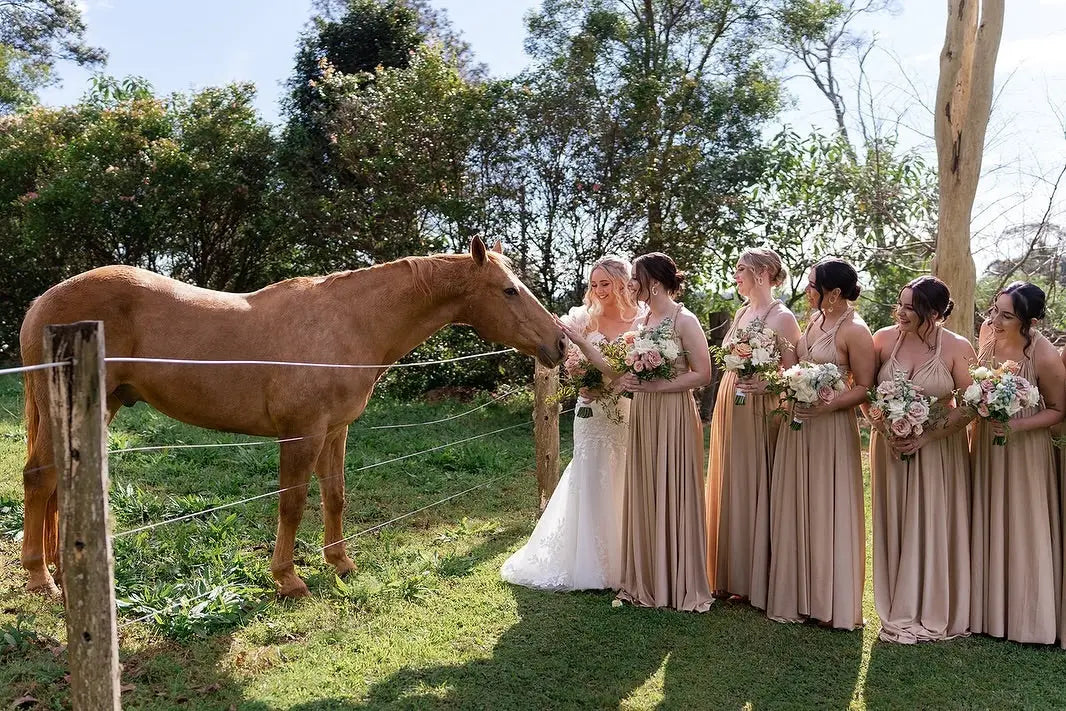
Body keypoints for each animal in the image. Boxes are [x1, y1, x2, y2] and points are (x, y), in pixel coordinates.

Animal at [20, 236, 565, 597]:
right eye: (509, 290)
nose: (559, 342)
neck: (349, 323)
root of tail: (43, 302)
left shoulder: (336, 431)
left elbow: (335, 496)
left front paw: (341, 563)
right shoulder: (301, 435)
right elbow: (293, 503)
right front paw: (288, 579)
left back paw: (62, 569)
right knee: (40, 477)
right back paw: (41, 578)